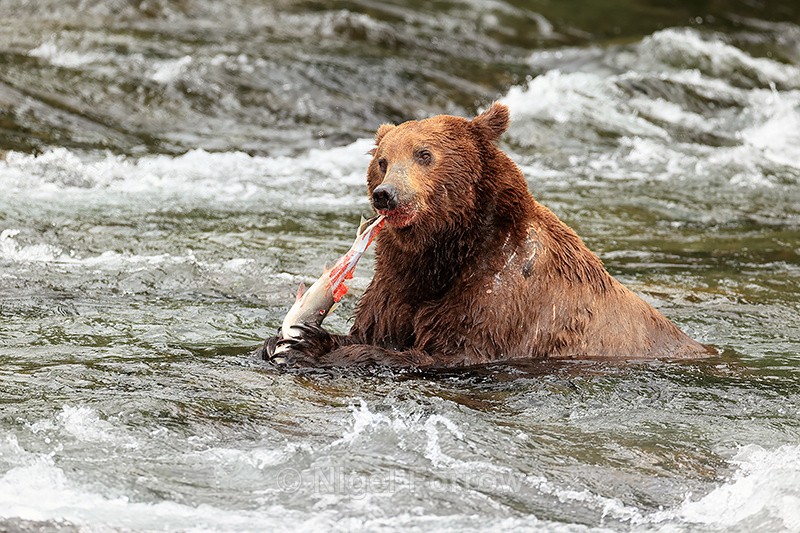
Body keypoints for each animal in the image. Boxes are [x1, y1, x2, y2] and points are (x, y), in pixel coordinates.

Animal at [262, 102, 713, 367]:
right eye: (383, 161)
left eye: (424, 154)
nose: (385, 195)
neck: (450, 247)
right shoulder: (401, 278)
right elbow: (380, 324)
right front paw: (275, 341)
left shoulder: (504, 293)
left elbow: (449, 351)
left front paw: (310, 343)